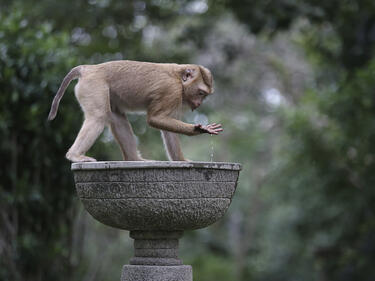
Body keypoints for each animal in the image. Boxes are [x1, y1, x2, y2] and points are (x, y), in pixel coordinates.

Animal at [47, 60, 223, 162]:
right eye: (200, 93)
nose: (199, 104)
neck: (179, 79)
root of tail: (88, 69)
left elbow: (167, 128)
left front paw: (182, 161)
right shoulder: (171, 90)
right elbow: (155, 119)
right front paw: (198, 129)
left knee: (117, 118)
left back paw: (135, 160)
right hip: (93, 86)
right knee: (98, 116)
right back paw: (74, 156)